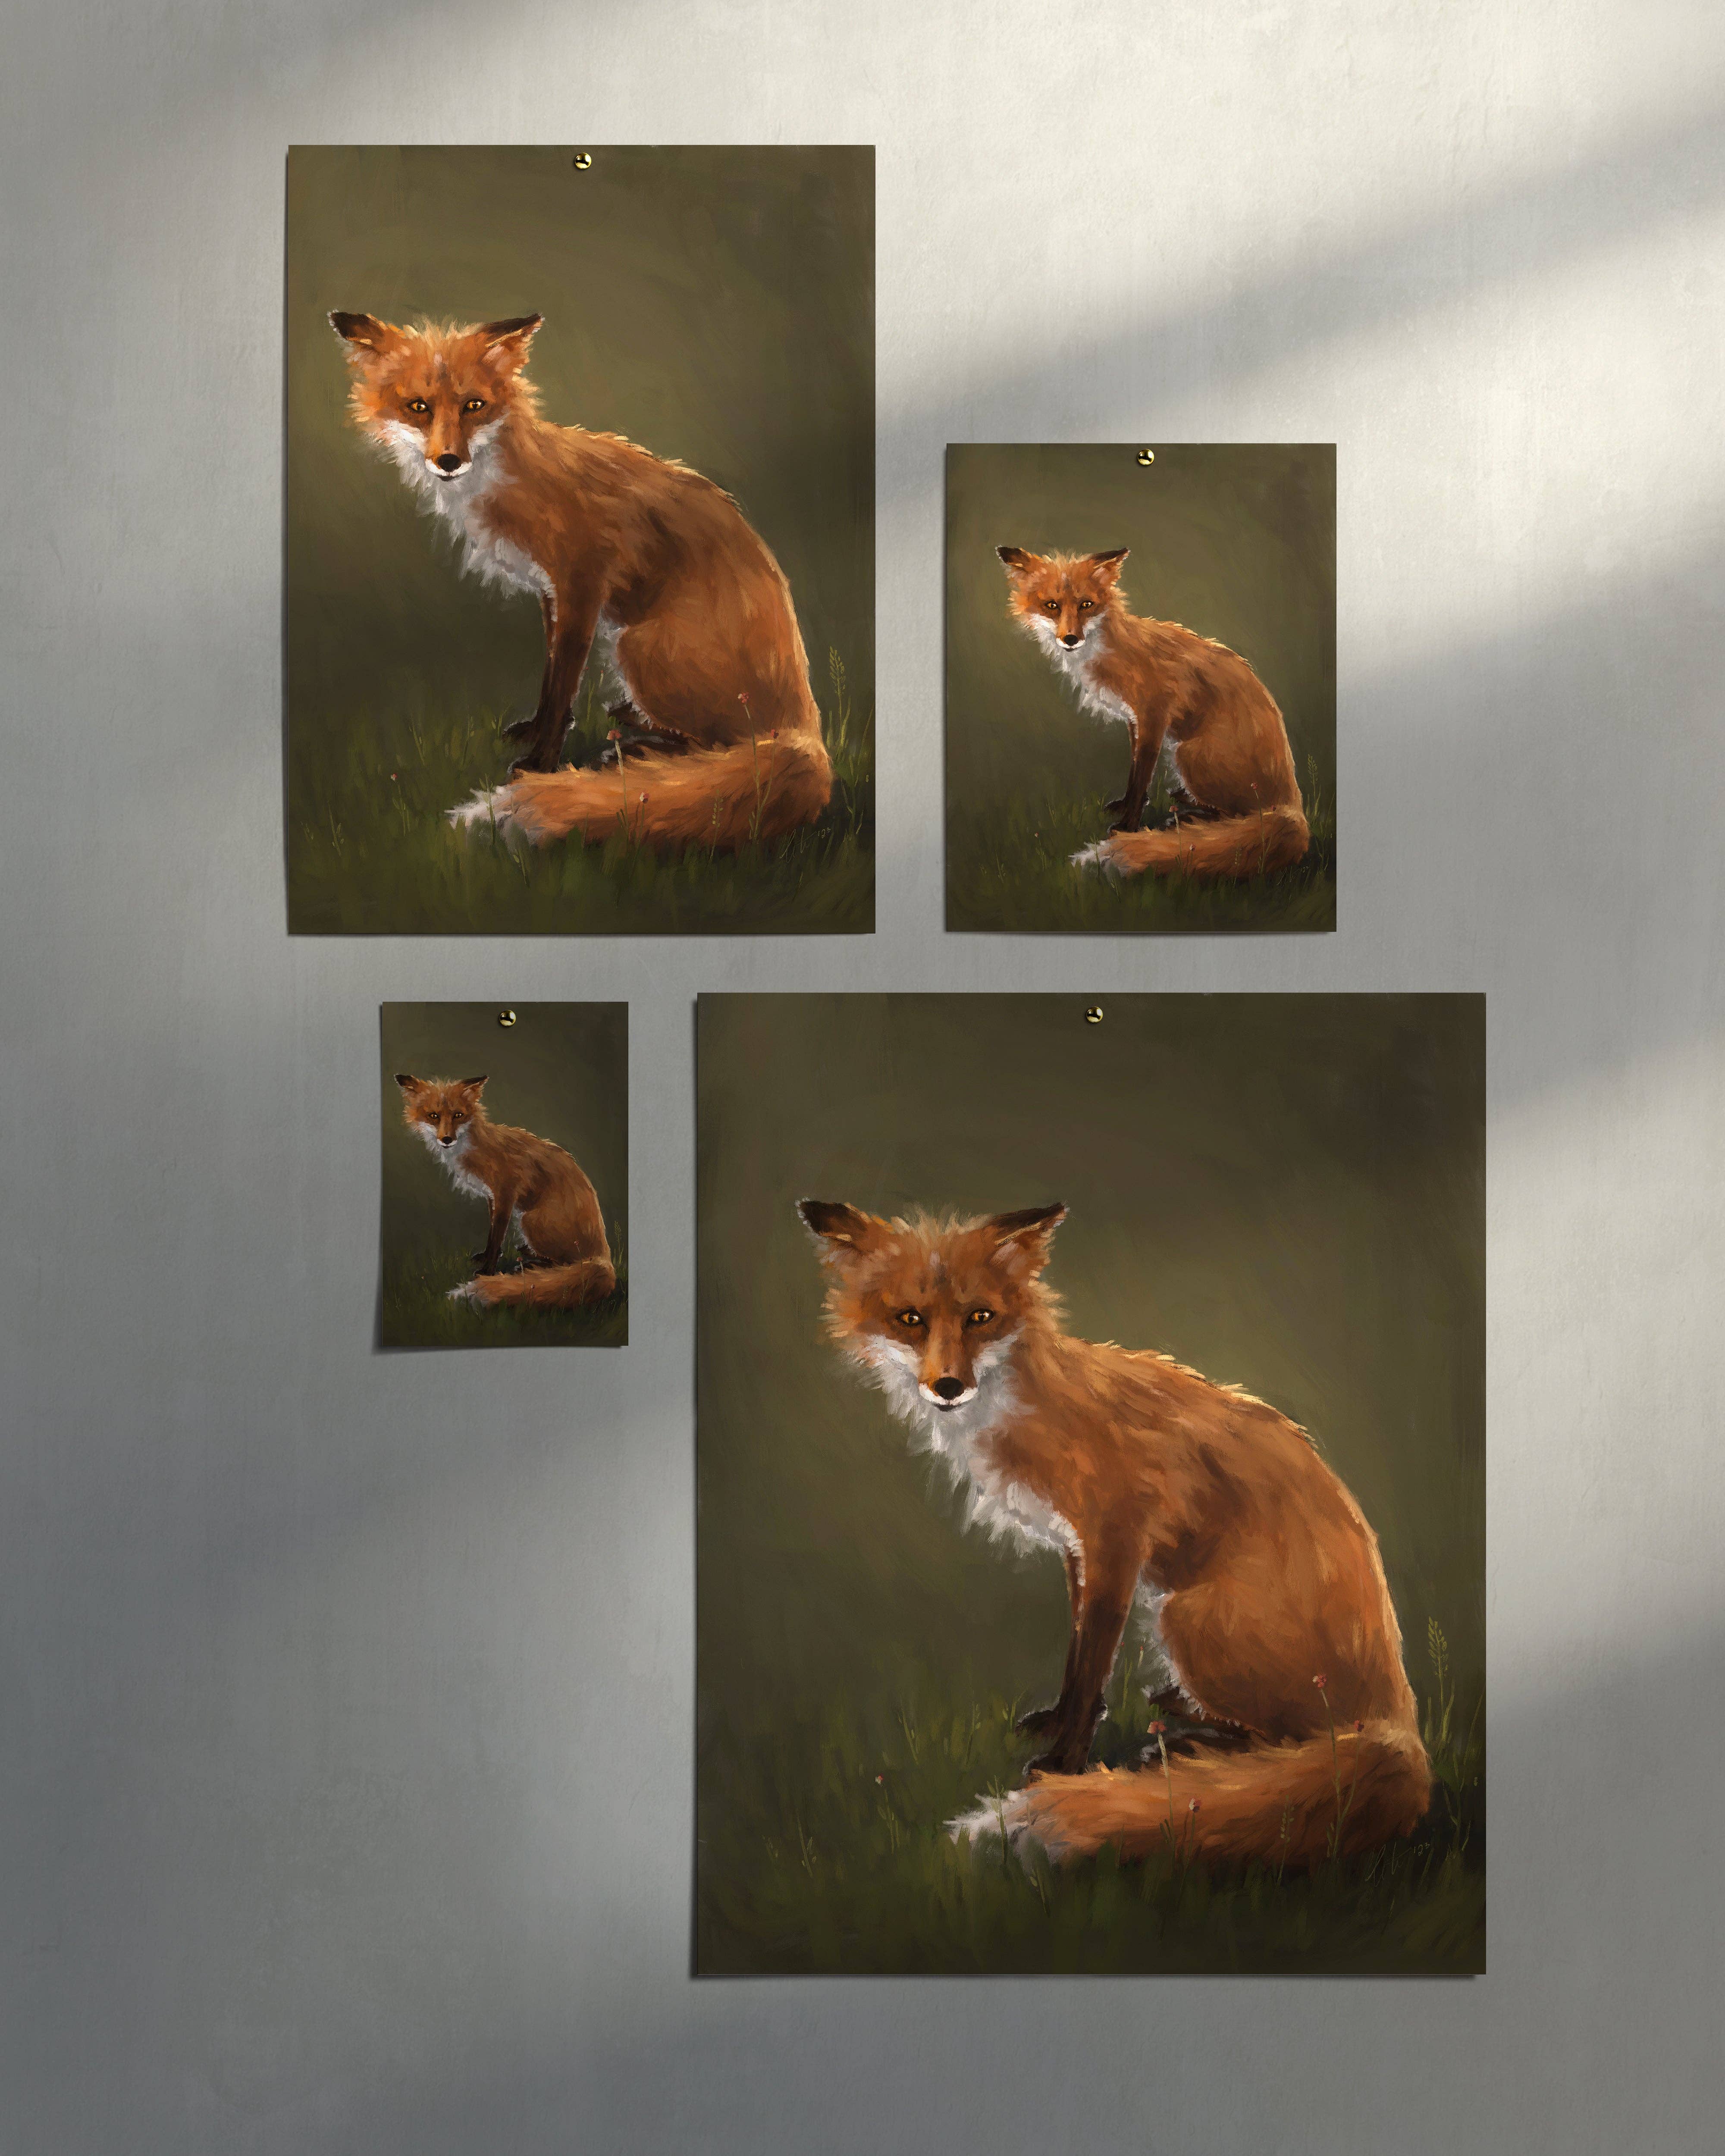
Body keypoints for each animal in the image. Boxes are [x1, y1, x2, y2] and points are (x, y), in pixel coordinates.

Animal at [329, 310, 832, 853]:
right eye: (418, 408)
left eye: (474, 406)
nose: (448, 461)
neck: (511, 478)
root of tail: (806, 725)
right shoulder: (550, 591)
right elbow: (552, 678)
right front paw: (534, 730)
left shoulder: (582, 583)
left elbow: (564, 683)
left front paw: (539, 763)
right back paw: (636, 726)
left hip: (636, 646)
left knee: (723, 747)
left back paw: (639, 750)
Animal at [396, 1074, 615, 1308]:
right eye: (434, 1116)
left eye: (458, 1115)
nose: (447, 1139)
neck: (475, 1147)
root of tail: (604, 1254)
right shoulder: (492, 1196)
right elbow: (492, 1234)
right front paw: (485, 1257)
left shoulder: (506, 1194)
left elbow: (496, 1237)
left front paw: (487, 1271)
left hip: (529, 1221)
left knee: (570, 1264)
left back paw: (533, 1265)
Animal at [796, 1197, 1431, 1870]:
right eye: (910, 1320)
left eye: (980, 1317)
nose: (948, 1386)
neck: (1029, 1407)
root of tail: (1398, 1716)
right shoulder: (1078, 1548)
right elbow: (1078, 1657)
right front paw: (1057, 1723)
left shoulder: (1117, 1540)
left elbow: (1092, 1664)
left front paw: (1062, 1763)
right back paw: (1183, 1716)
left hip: (1183, 1617)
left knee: (1300, 1742)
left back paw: (1189, 1746)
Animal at [997, 545, 1309, 880]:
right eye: (1051, 606)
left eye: (1086, 605)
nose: (1071, 639)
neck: (1110, 649)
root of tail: (1293, 803)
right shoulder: (1134, 719)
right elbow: (1135, 773)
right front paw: (1124, 806)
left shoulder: (1154, 716)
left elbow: (1141, 778)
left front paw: (1127, 827)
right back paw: (1187, 803)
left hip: (1187, 754)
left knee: (1243, 817)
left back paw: (1190, 818)